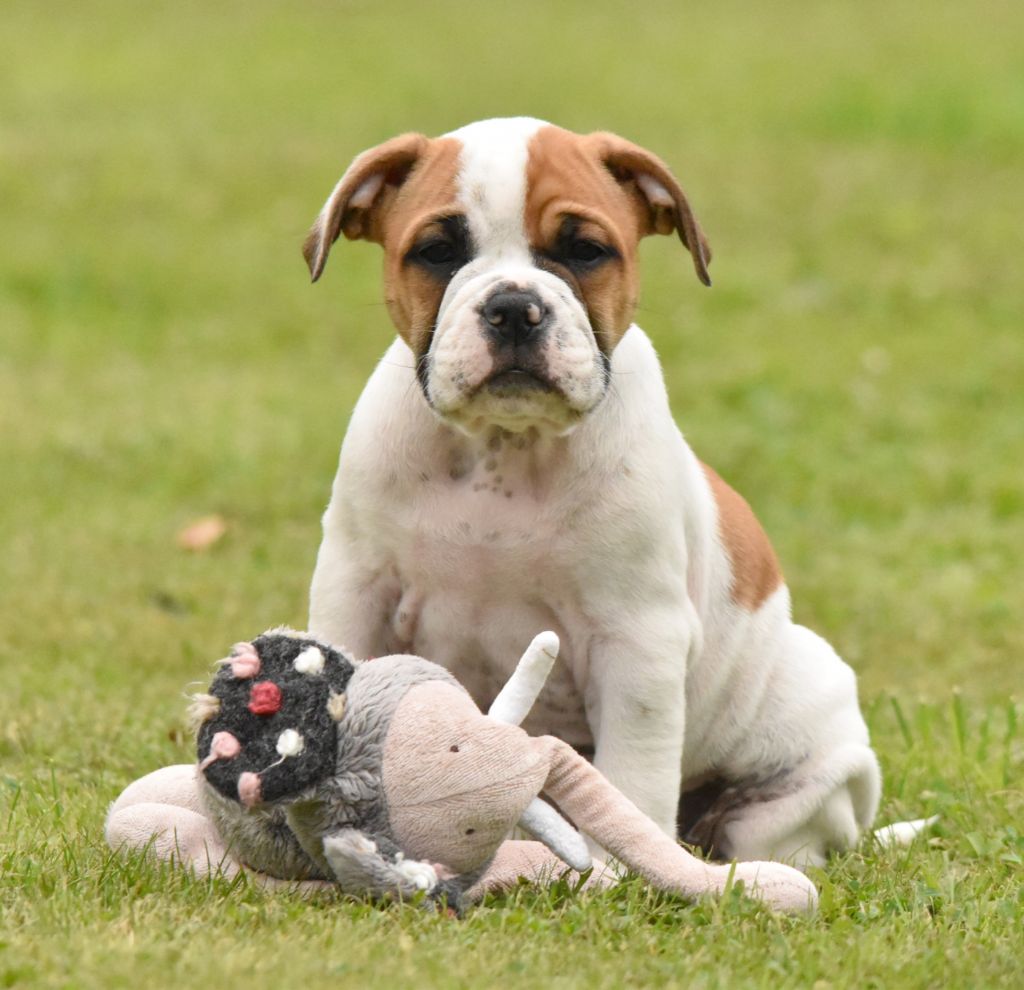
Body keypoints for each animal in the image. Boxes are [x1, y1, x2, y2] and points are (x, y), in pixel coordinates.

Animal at [301, 119, 880, 872]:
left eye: (585, 250)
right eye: (437, 252)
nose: (513, 308)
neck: (505, 449)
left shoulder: (636, 640)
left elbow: (629, 776)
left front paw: (621, 871)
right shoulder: (356, 591)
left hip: (806, 746)